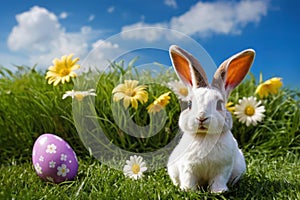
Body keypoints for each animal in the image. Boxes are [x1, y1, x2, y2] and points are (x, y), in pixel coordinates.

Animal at [168, 45, 254, 192]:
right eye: (190, 104)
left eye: (219, 104)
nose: (201, 117)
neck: (204, 136)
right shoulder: (187, 168)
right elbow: (188, 179)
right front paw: (188, 190)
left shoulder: (222, 169)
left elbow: (218, 180)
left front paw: (219, 191)